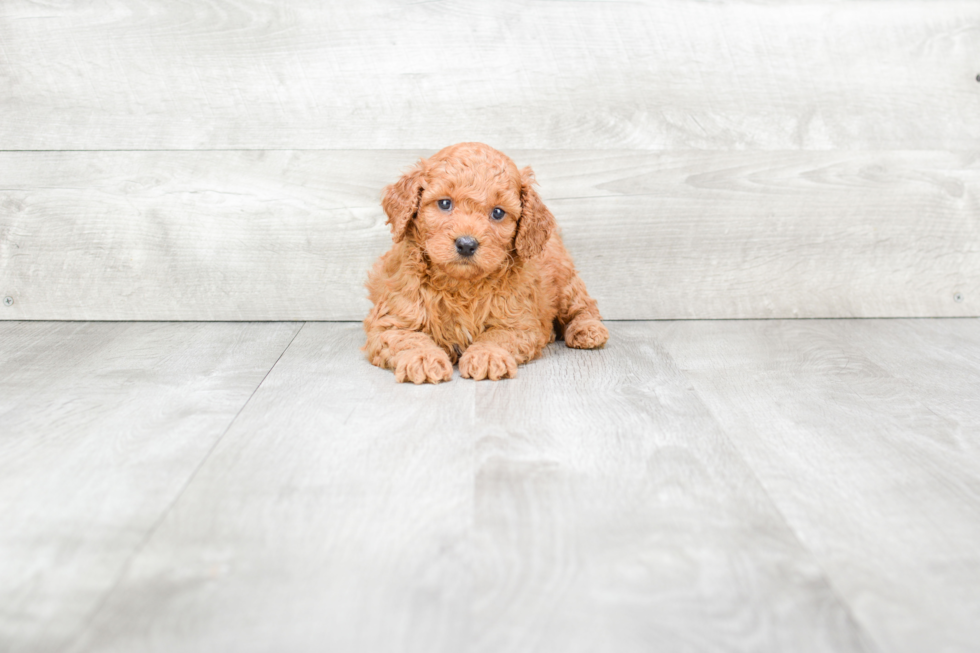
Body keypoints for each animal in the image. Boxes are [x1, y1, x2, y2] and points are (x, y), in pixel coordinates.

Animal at [364, 143, 608, 382]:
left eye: (498, 212)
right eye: (445, 203)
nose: (466, 244)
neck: (461, 285)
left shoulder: (517, 322)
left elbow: (496, 336)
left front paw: (487, 355)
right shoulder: (393, 321)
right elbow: (408, 339)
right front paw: (423, 358)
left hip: (566, 281)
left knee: (583, 306)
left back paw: (588, 330)